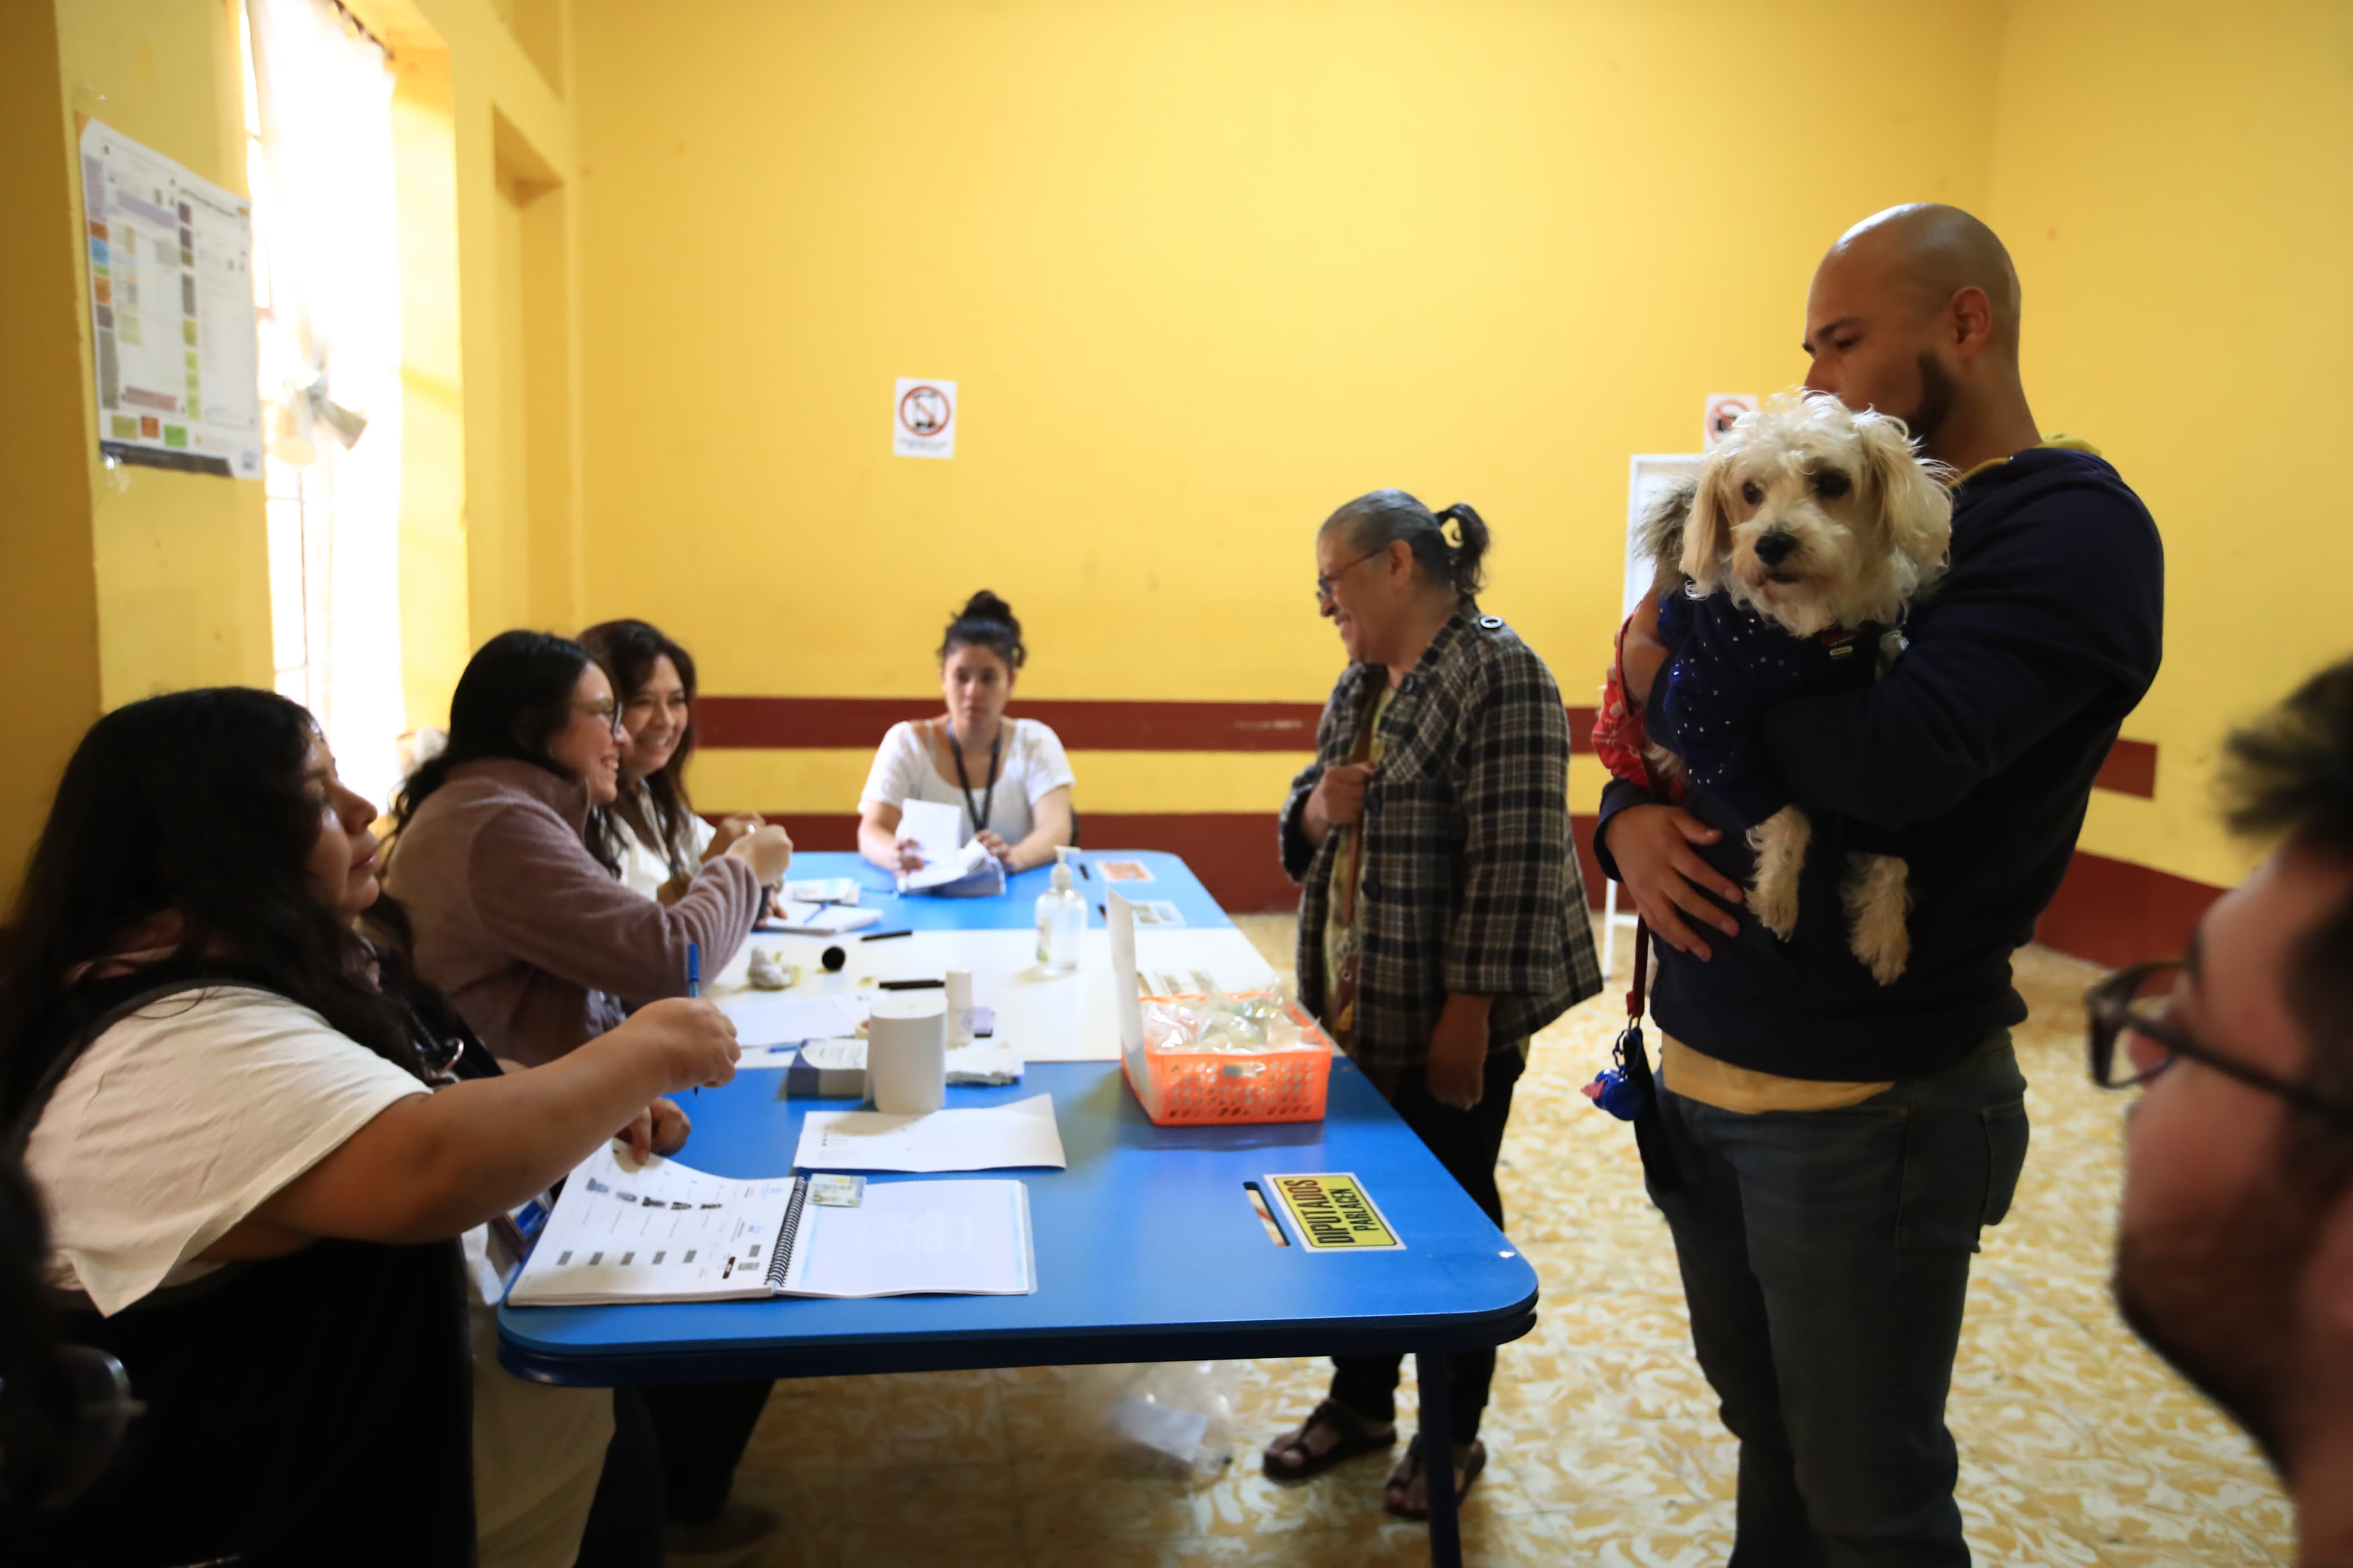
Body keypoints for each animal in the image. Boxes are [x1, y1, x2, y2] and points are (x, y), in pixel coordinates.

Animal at [1647, 392, 1958, 982]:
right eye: (1750, 491)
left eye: (1832, 482)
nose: (1772, 543)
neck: (1817, 628)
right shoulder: (1706, 707)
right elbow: (1784, 814)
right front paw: (1777, 896)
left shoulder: (1885, 763)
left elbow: (1890, 853)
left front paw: (1884, 931)